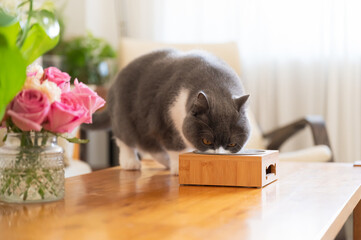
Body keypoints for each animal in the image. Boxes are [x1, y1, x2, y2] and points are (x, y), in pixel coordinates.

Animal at [87, 48, 250, 174]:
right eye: (207, 141)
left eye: (232, 144)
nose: (219, 156)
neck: (216, 83)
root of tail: (113, 84)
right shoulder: (164, 121)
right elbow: (175, 146)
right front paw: (178, 167)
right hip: (125, 116)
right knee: (125, 139)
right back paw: (131, 163)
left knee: (151, 146)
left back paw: (165, 163)